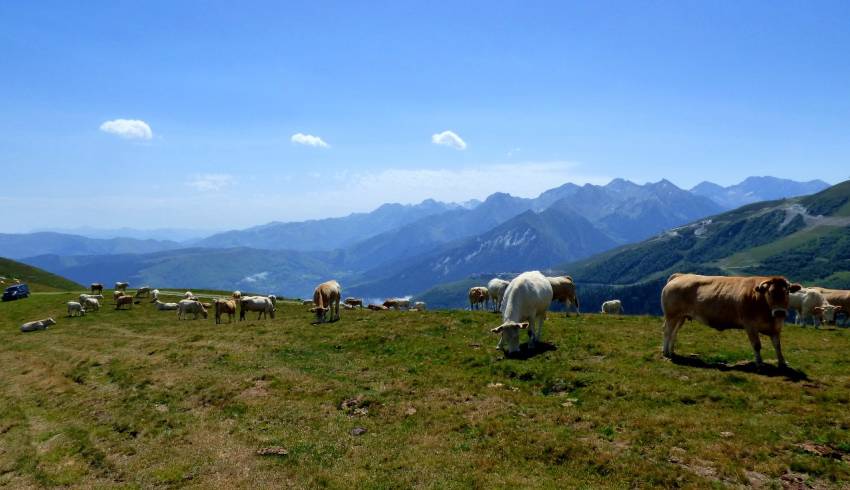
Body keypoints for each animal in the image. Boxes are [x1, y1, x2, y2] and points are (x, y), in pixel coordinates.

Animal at [660, 272, 800, 368]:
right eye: (770, 293)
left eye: (787, 292)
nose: (779, 312)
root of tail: (680, 275)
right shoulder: (750, 325)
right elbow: (757, 345)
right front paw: (759, 363)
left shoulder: (776, 328)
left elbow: (778, 346)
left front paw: (782, 362)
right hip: (671, 315)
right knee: (667, 331)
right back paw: (666, 352)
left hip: (681, 317)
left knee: (674, 332)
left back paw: (672, 352)